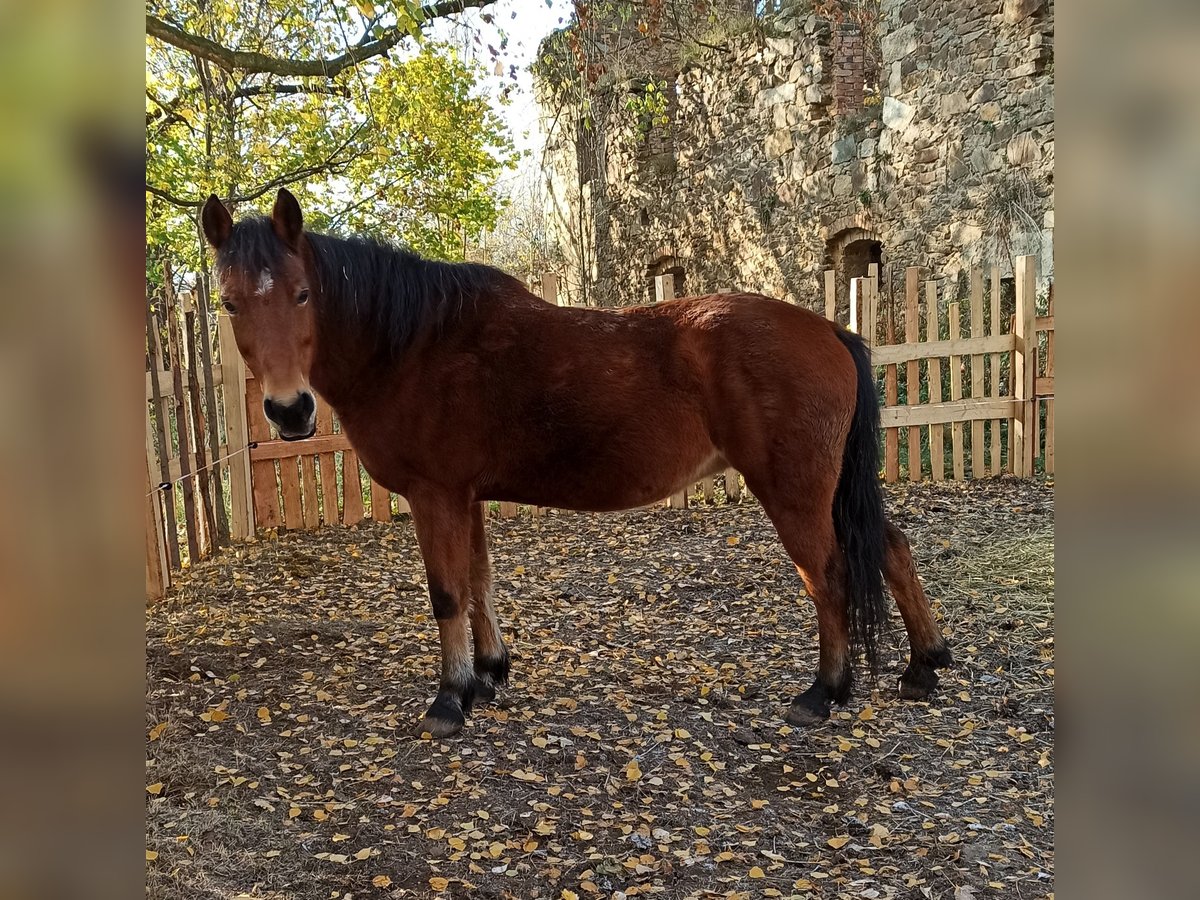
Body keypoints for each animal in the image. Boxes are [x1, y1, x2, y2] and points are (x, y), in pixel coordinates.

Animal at [206, 190, 955, 739]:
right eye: (229, 303)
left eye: (303, 294)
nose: (289, 411)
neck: (415, 344)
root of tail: (829, 329)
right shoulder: (465, 496)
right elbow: (478, 583)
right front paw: (489, 672)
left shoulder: (434, 494)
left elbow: (447, 593)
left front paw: (450, 699)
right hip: (830, 491)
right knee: (891, 547)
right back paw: (924, 666)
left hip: (796, 492)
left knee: (827, 576)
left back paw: (825, 690)